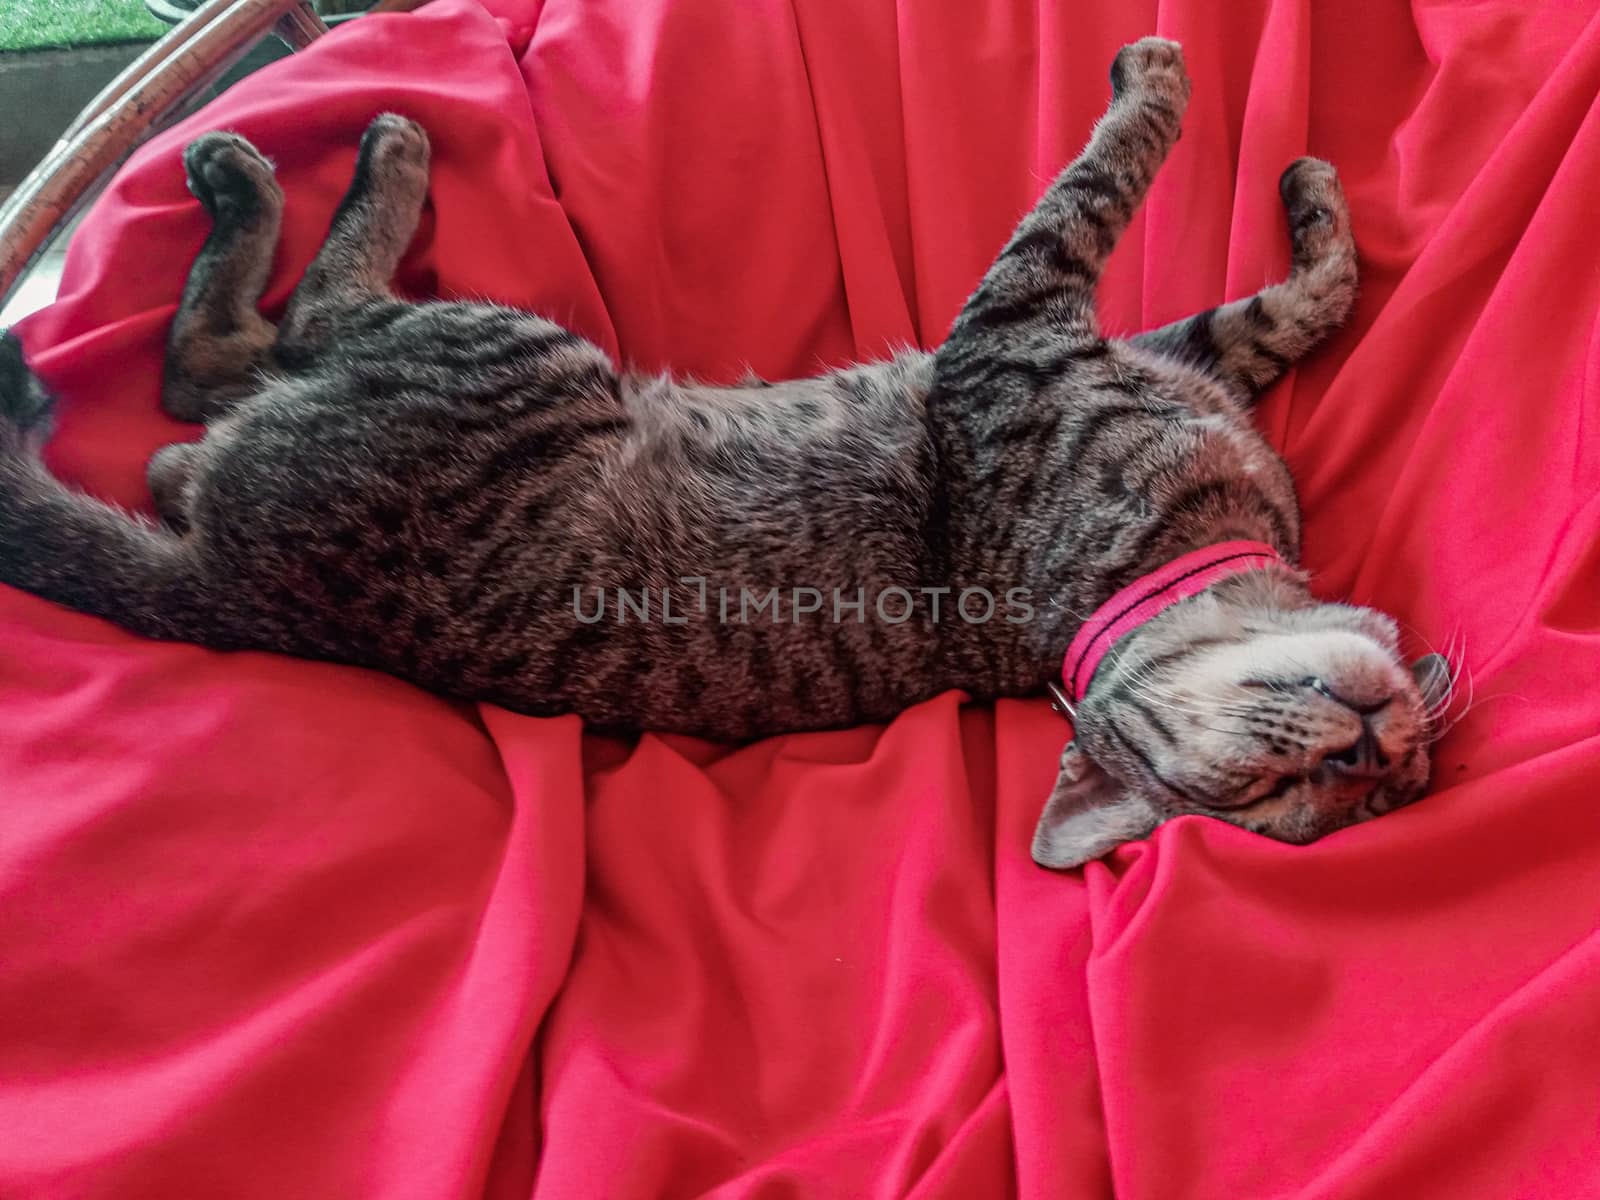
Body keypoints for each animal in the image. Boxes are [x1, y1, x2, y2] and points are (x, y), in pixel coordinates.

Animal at [0, 37, 1452, 864]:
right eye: (1273, 780)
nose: (1369, 745)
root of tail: (237, 595)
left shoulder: (1031, 332)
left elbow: (1130, 207)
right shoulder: (1050, 332)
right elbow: (1248, 279)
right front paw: (1290, 186)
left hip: (494, 350)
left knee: (237, 357)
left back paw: (320, 164)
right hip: (510, 349)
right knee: (235, 357)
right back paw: (326, 161)